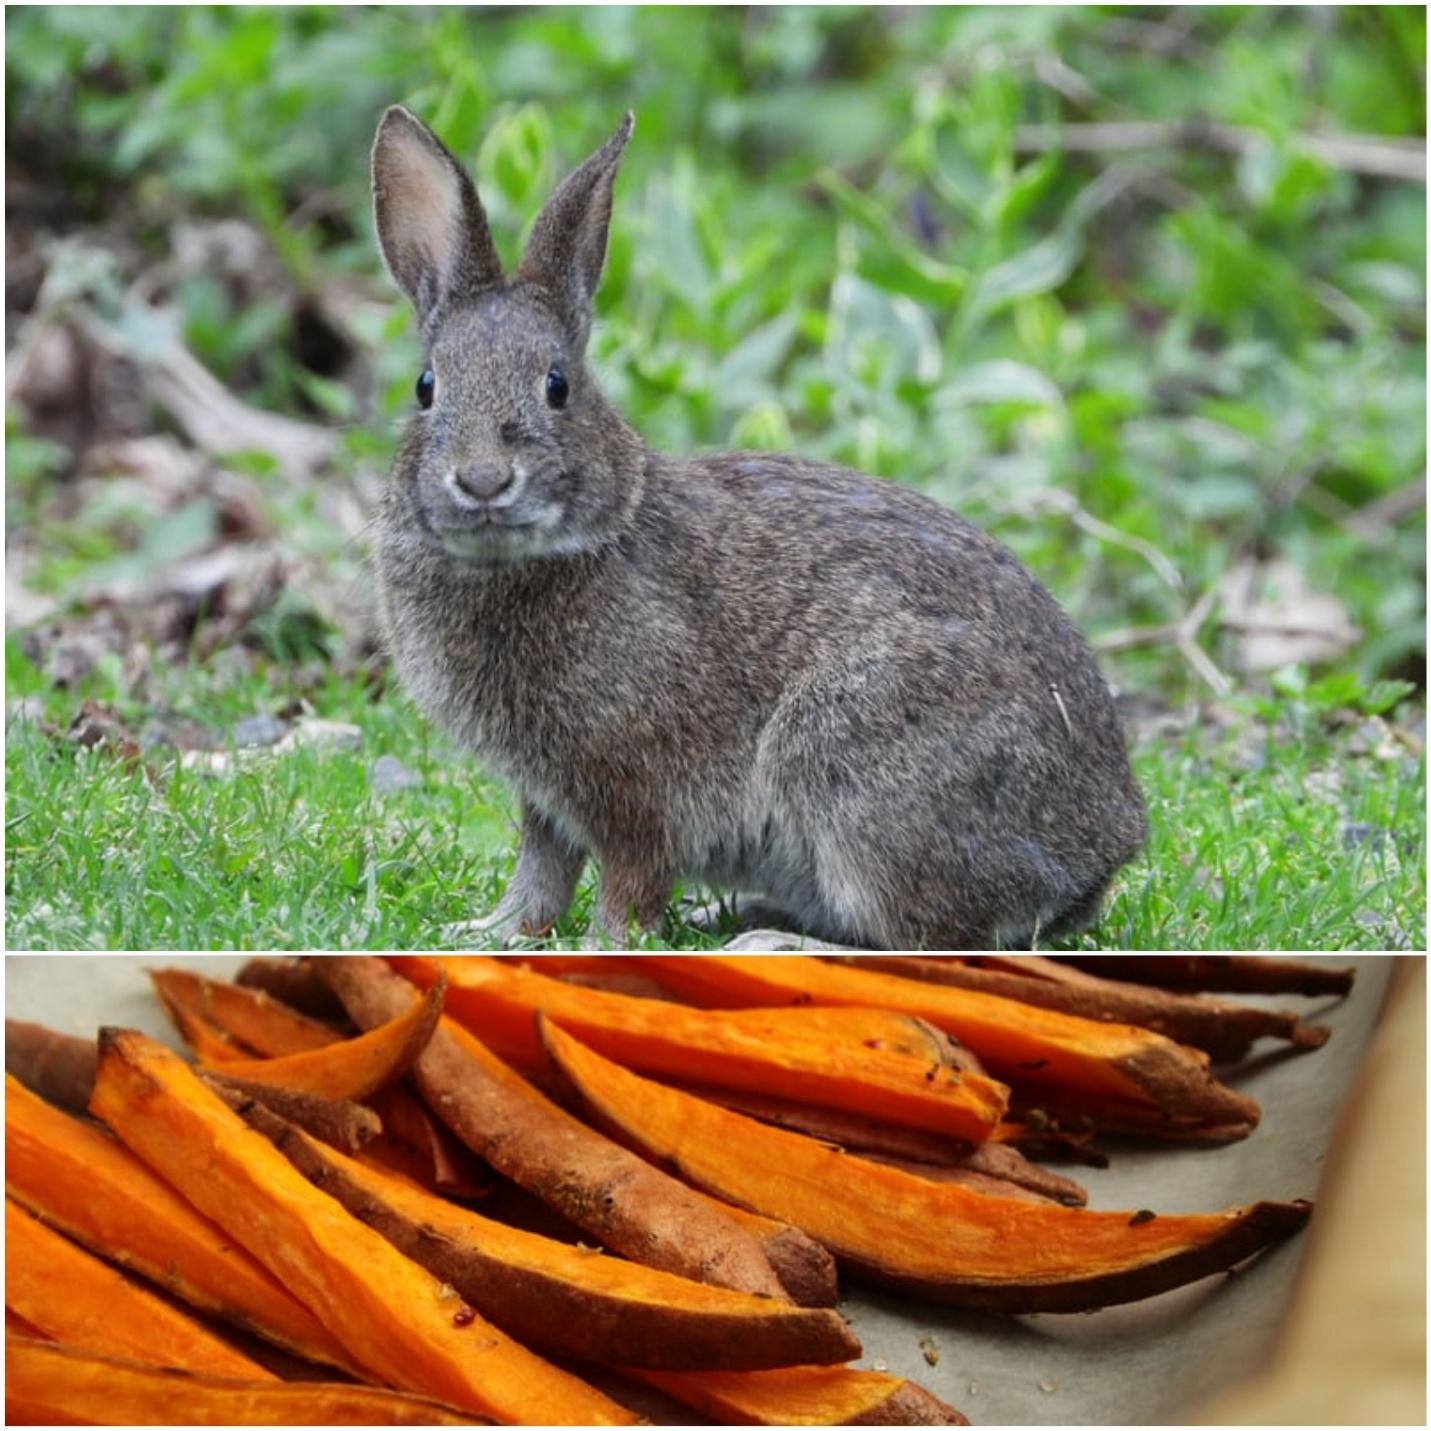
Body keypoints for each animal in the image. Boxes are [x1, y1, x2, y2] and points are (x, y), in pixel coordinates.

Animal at [370, 105, 1146, 951]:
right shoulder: (546, 794)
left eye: (557, 386)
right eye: (425, 387)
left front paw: (602, 942)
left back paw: (774, 939)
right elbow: (540, 871)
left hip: (857, 762)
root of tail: (1102, 851)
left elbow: (627, 877)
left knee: (927, 930)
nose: (482, 480)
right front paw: (492, 931)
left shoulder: (634, 781)